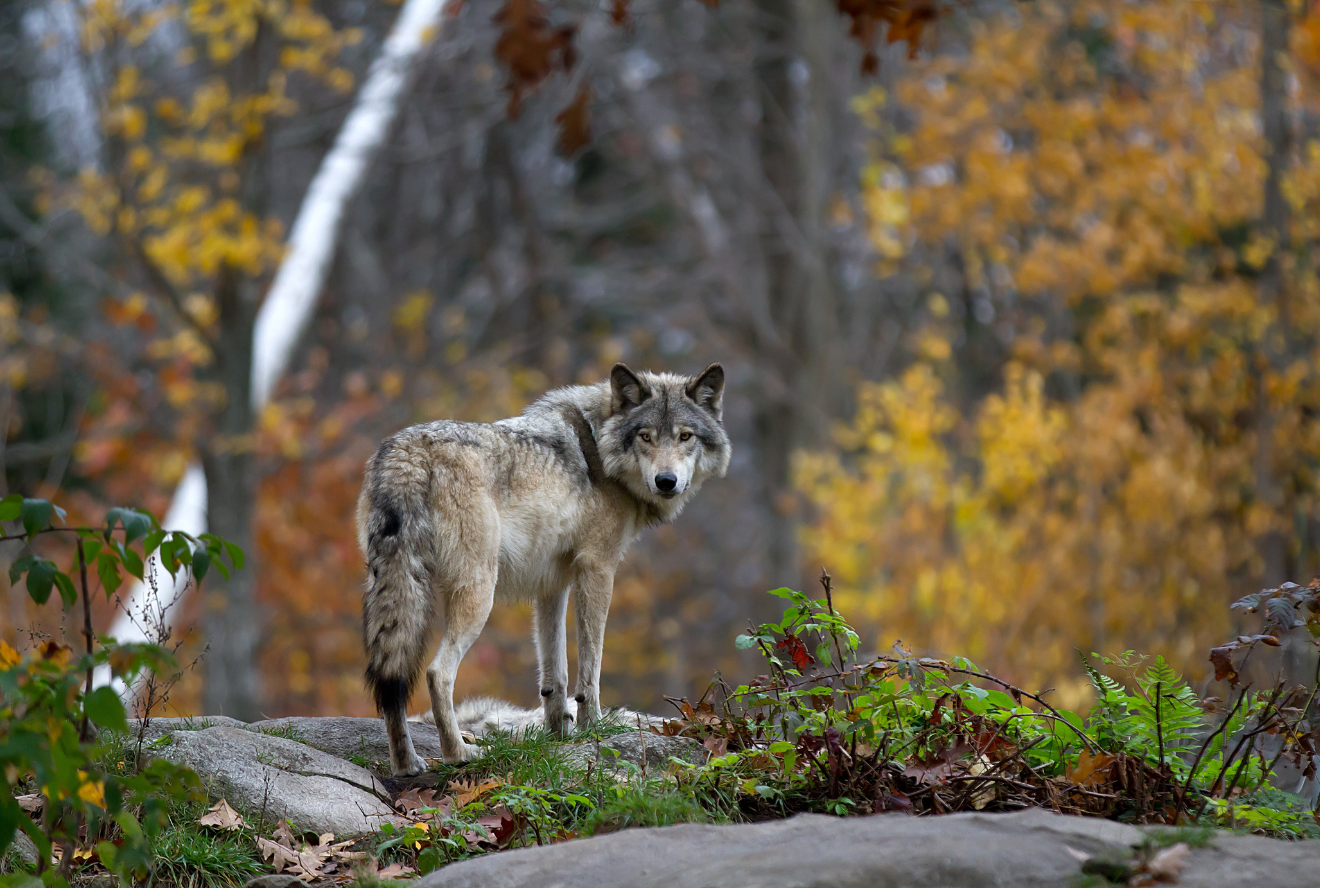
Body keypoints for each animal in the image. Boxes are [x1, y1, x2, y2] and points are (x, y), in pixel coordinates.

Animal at [358, 362, 730, 775]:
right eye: (645, 436)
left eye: (685, 436)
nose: (667, 482)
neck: (599, 447)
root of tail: (408, 451)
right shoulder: (598, 569)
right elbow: (590, 667)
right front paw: (591, 728)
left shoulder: (552, 584)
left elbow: (556, 673)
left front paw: (559, 735)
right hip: (478, 594)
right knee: (438, 673)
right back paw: (459, 753)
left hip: (394, 589)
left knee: (391, 679)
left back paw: (406, 764)